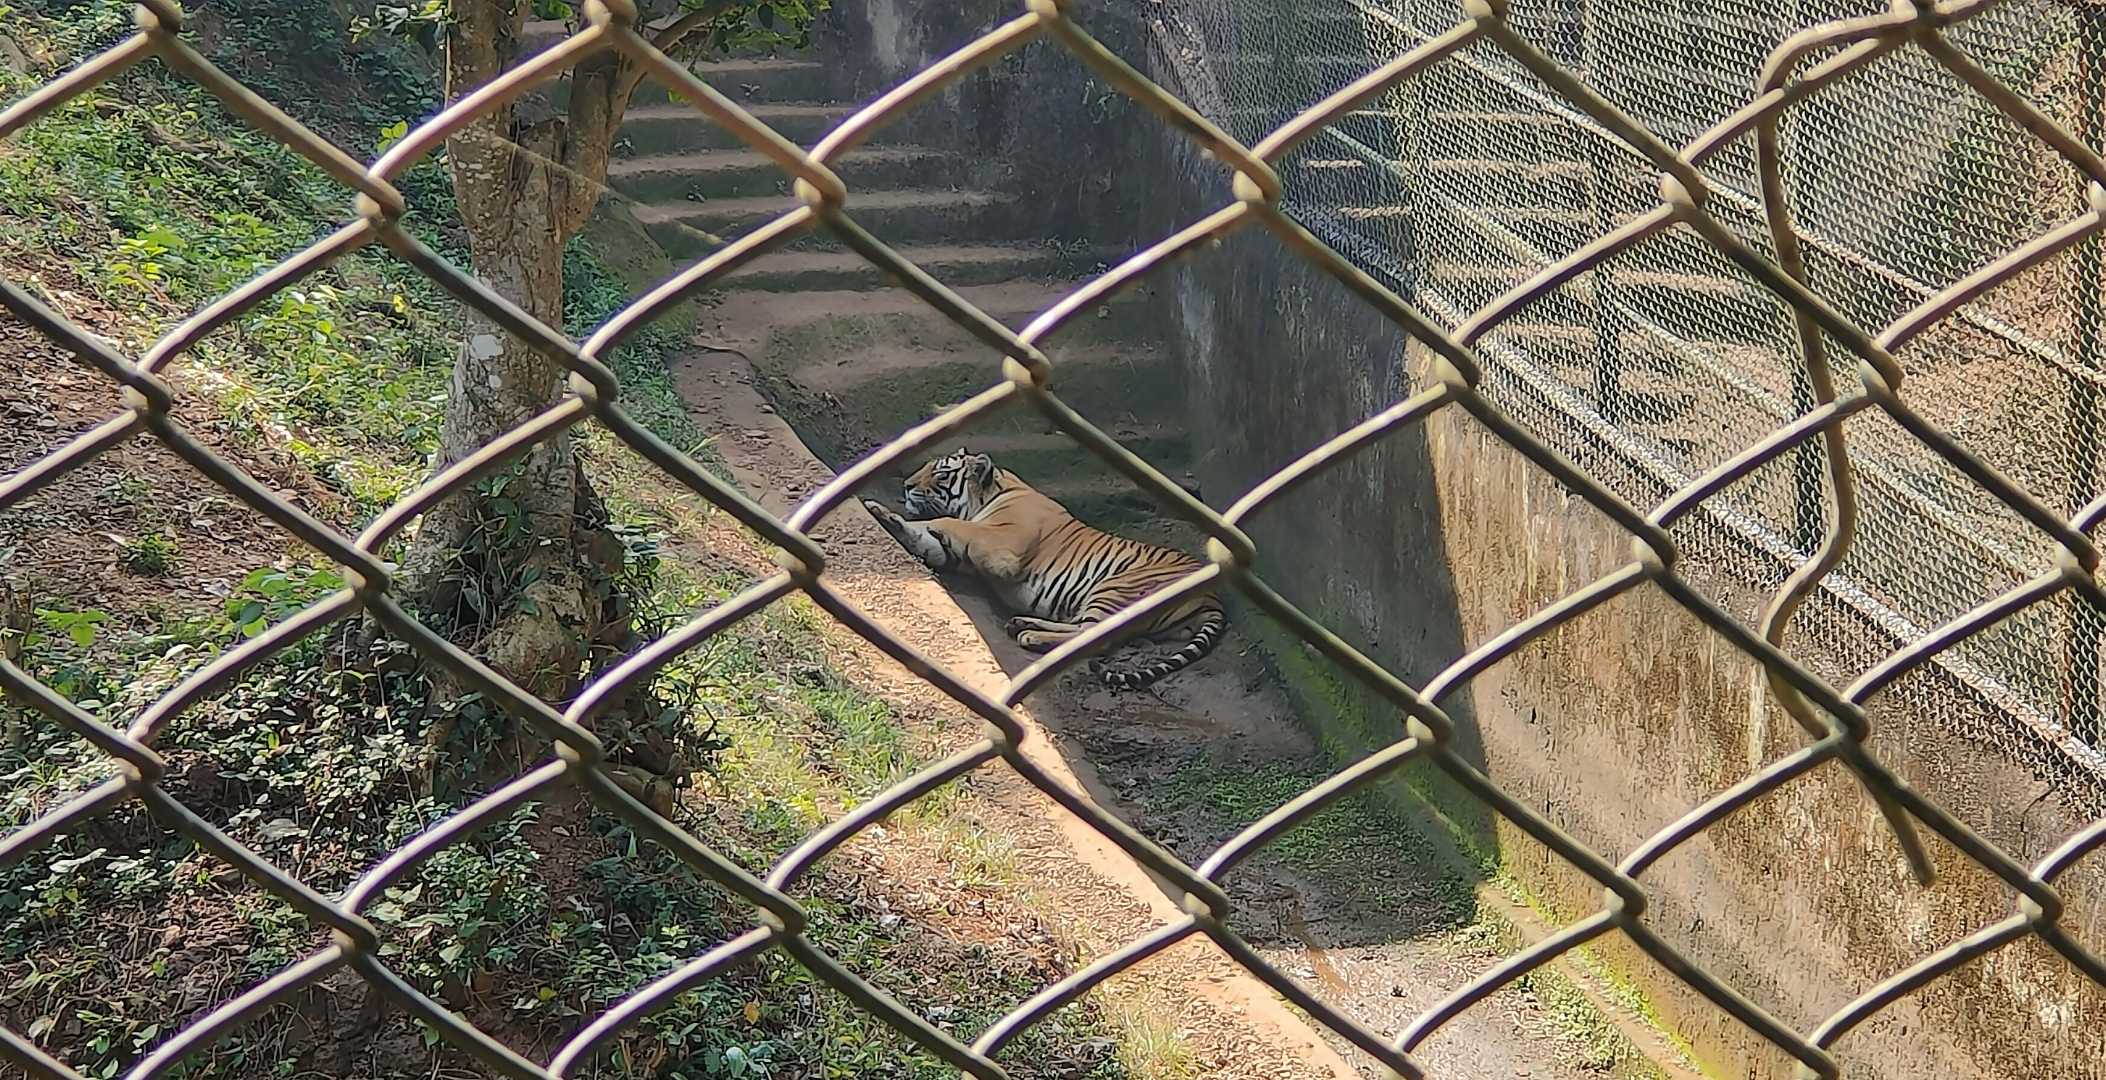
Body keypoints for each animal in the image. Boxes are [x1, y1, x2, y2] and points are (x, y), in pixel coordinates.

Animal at [862, 447, 1226, 690]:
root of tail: (1214, 596)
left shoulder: (1000, 547)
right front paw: (881, 512)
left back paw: (1031, 635)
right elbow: (923, 535)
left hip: (1115, 587)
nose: (907, 485)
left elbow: (948, 523)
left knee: (1093, 638)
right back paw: (1024, 623)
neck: (993, 493)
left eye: (940, 473)